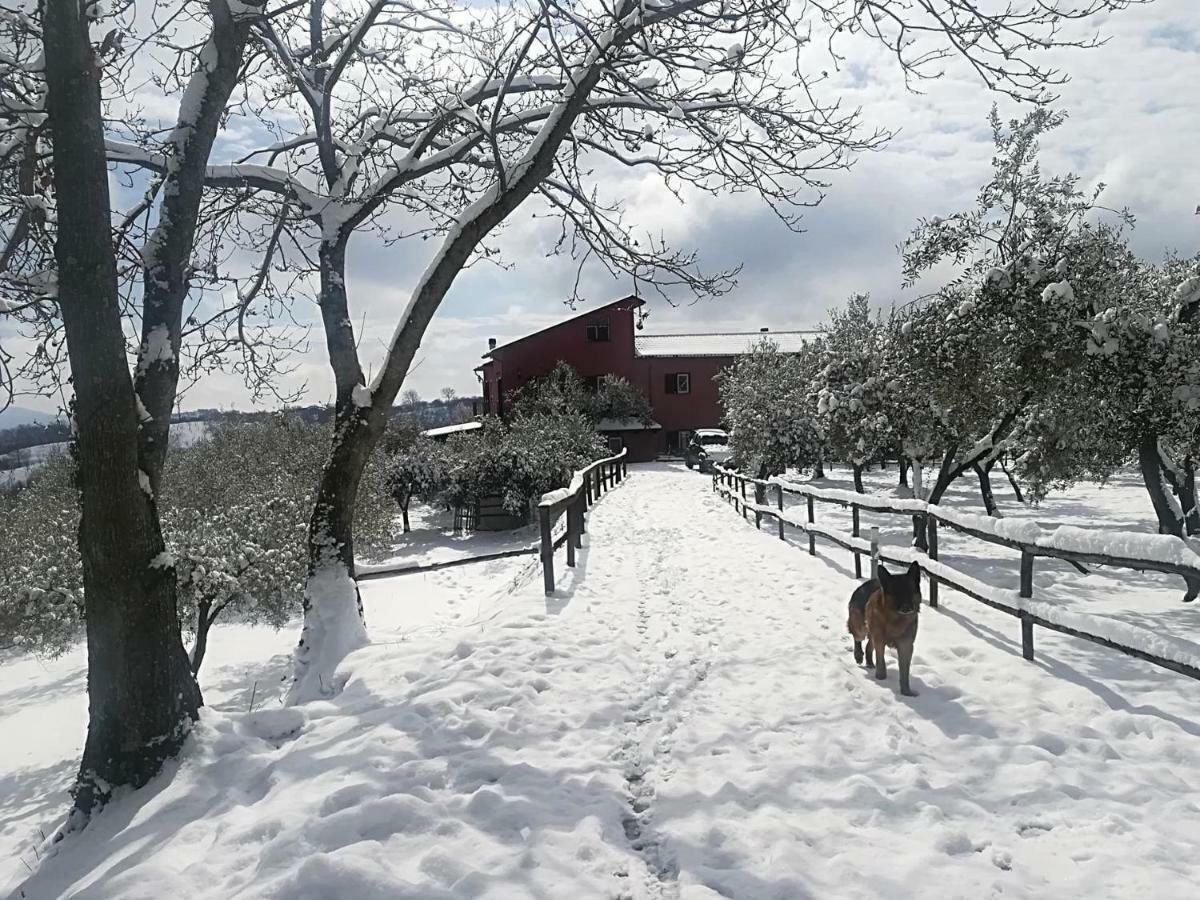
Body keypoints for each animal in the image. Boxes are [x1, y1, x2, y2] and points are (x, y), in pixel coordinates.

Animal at [849, 564, 921, 696]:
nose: (907, 608)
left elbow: (904, 672)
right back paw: (858, 655)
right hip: (861, 627)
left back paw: (869, 662)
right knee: (857, 638)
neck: (895, 619)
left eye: (910, 591)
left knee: (868, 646)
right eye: (896, 592)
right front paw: (881, 677)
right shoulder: (880, 640)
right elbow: (881, 661)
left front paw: (906, 692)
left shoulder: (906, 646)